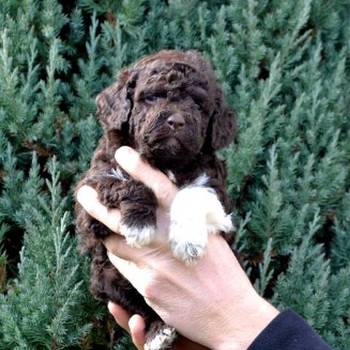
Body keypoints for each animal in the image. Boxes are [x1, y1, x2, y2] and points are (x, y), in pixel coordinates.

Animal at [75, 50, 237, 350]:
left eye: (198, 104)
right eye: (151, 97)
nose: (176, 121)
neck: (165, 162)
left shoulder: (216, 188)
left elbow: (192, 192)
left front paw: (188, 241)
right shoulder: (89, 194)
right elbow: (125, 181)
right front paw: (139, 223)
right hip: (107, 279)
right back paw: (157, 332)